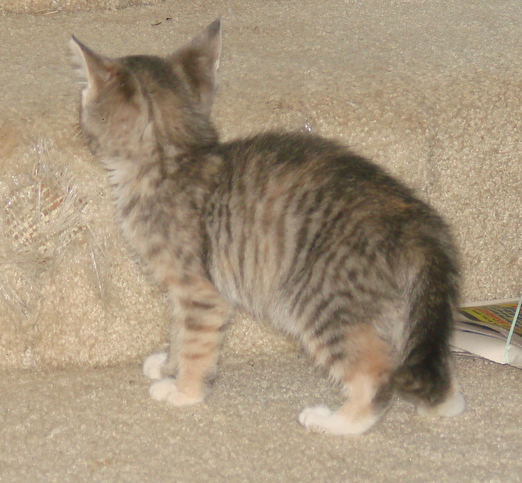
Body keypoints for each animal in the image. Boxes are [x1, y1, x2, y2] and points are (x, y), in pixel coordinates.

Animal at [69, 19, 464, 434]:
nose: (77, 120)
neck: (171, 159)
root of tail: (417, 221)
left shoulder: (199, 290)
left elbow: (195, 342)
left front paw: (184, 390)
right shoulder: (181, 292)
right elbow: (178, 330)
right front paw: (167, 365)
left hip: (316, 298)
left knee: (375, 372)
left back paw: (337, 421)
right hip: (395, 305)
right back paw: (442, 403)